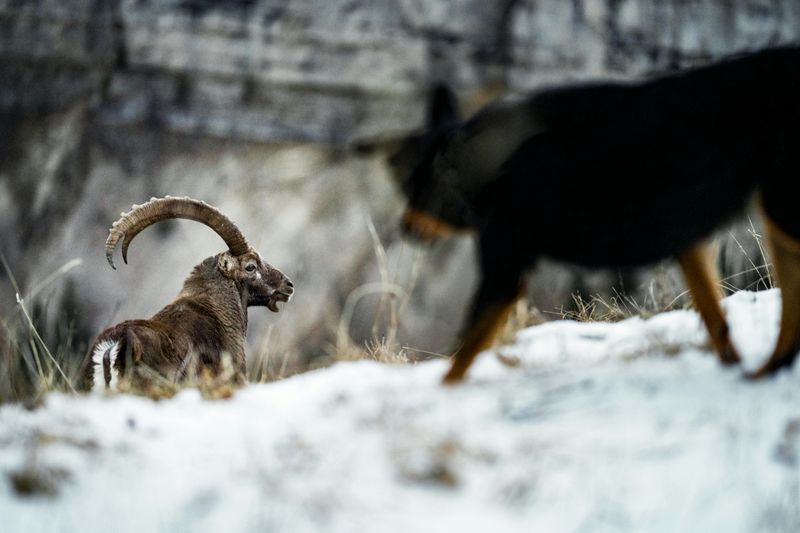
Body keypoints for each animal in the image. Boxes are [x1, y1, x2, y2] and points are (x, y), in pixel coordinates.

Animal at [394, 46, 800, 383]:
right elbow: (716, 321)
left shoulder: (503, 272)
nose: (404, 228)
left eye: (416, 192)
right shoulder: (687, 243)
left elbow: (458, 360)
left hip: (780, 209)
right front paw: (731, 364)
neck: (494, 161)